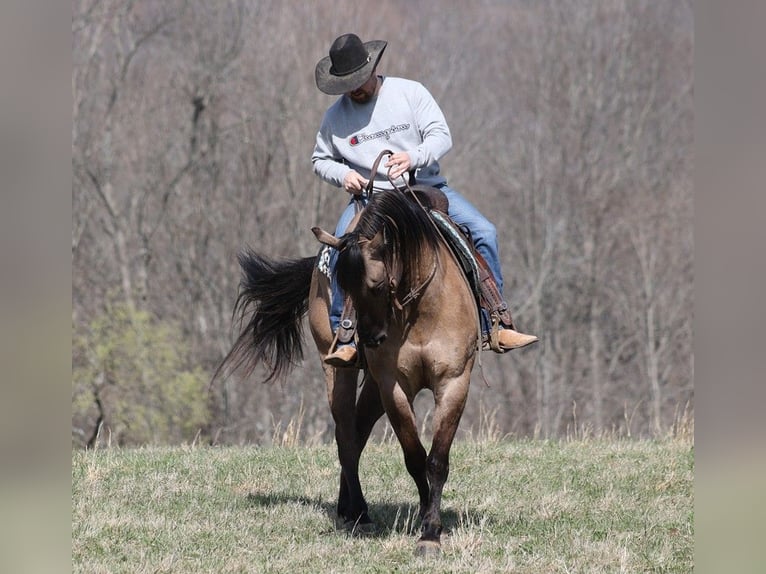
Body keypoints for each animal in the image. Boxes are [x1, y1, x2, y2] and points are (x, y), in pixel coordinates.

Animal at [218, 189, 480, 560]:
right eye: (343, 284)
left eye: (378, 283)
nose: (368, 338)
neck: (421, 308)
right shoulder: (393, 386)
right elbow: (414, 456)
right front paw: (428, 526)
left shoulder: (454, 382)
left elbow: (436, 460)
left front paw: (430, 528)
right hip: (339, 373)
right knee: (346, 436)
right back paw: (358, 513)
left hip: (372, 384)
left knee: (357, 432)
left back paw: (350, 509)